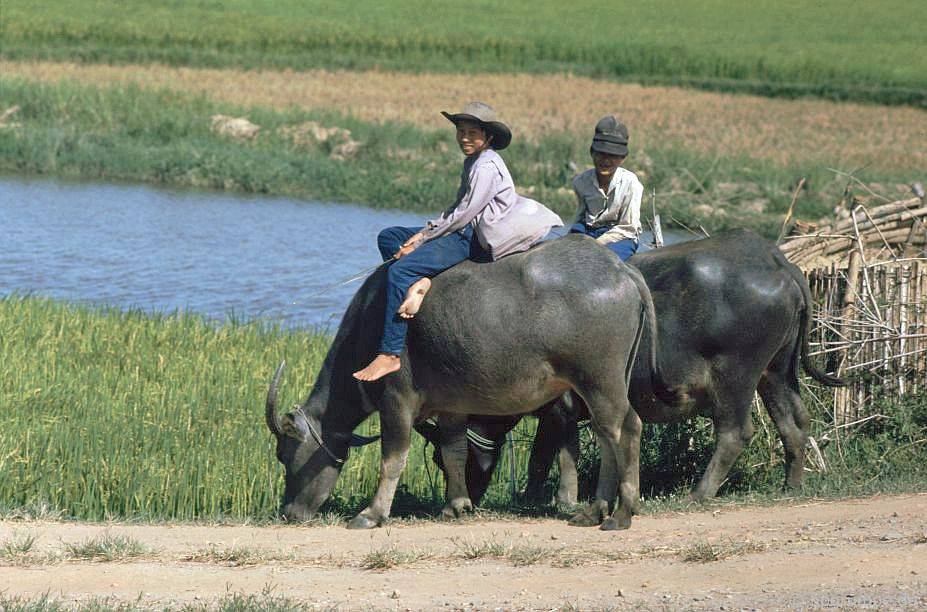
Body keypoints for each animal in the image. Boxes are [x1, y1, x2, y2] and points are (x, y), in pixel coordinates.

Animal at [264, 234, 672, 532]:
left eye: (284, 454)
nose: (289, 513)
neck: (373, 323)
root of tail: (619, 270)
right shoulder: (451, 407)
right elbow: (454, 452)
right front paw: (456, 505)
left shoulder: (396, 401)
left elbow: (392, 459)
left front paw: (371, 513)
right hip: (598, 384)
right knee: (606, 435)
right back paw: (593, 511)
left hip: (599, 379)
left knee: (625, 428)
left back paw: (622, 513)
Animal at [438, 230, 844, 506]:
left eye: (443, 460)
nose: (467, 496)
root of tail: (777, 261)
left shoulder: (559, 408)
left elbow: (547, 457)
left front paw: (551, 498)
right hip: (775, 371)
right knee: (795, 421)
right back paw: (791, 484)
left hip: (736, 375)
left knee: (736, 432)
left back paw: (699, 492)